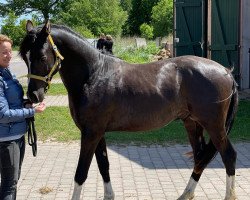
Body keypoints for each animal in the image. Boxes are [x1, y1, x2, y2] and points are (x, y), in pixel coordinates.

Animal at [20, 20, 238, 200]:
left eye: (41, 57)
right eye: (24, 57)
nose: (33, 96)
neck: (94, 75)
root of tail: (226, 72)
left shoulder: (91, 133)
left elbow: (81, 172)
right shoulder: (97, 133)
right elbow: (104, 165)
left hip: (214, 126)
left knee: (228, 156)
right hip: (192, 123)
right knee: (200, 158)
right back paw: (186, 194)